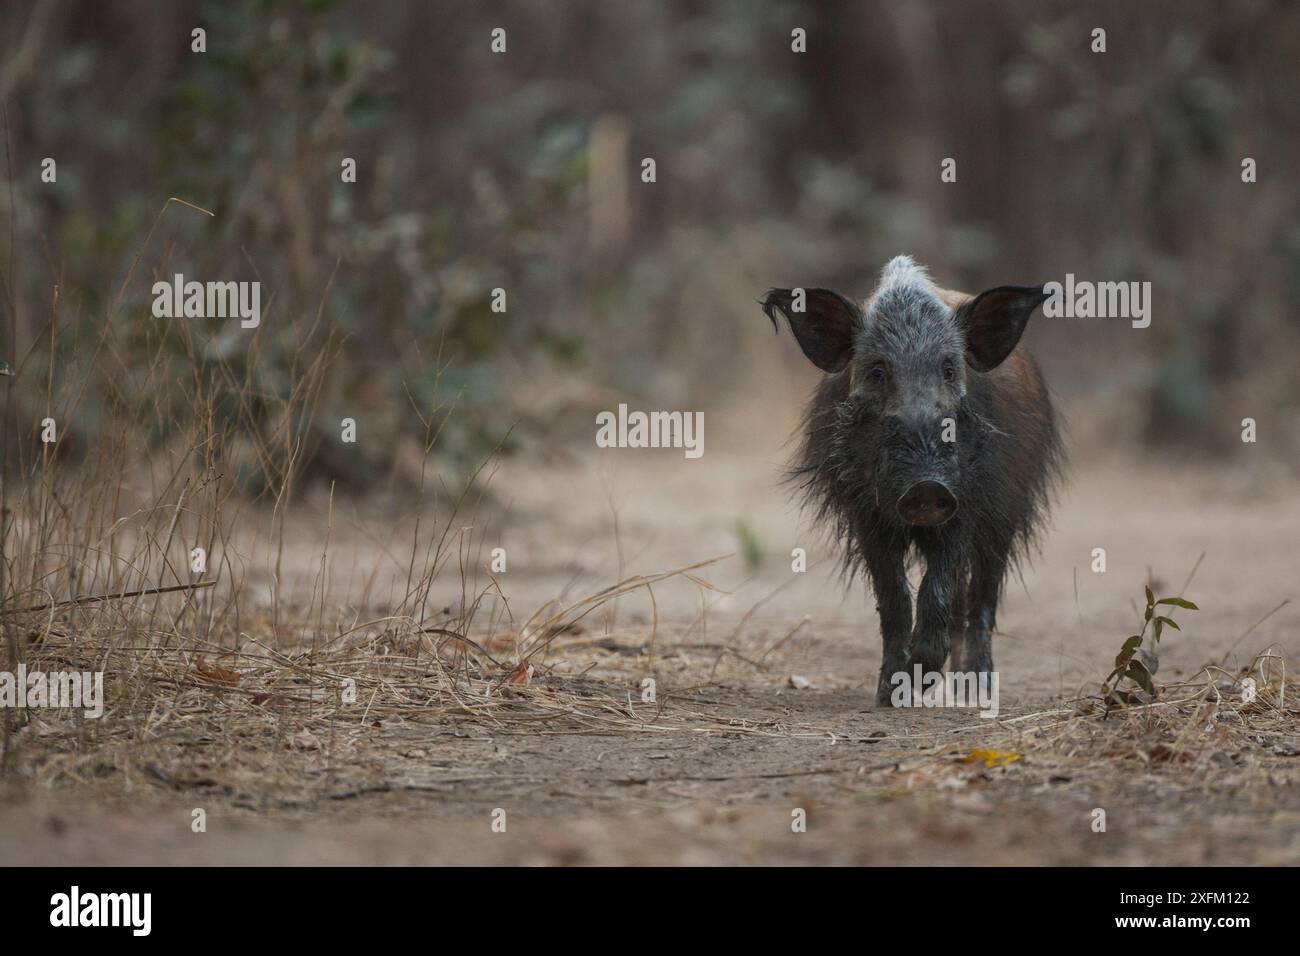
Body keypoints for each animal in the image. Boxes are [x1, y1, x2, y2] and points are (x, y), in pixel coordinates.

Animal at [761, 256, 1063, 706]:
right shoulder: (864, 512)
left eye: (949, 369)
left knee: (982, 593)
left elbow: (938, 587)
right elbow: (894, 596)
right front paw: (891, 693)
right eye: (877, 371)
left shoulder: (967, 500)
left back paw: (977, 688)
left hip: (1009, 512)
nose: (926, 487)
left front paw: (921, 678)